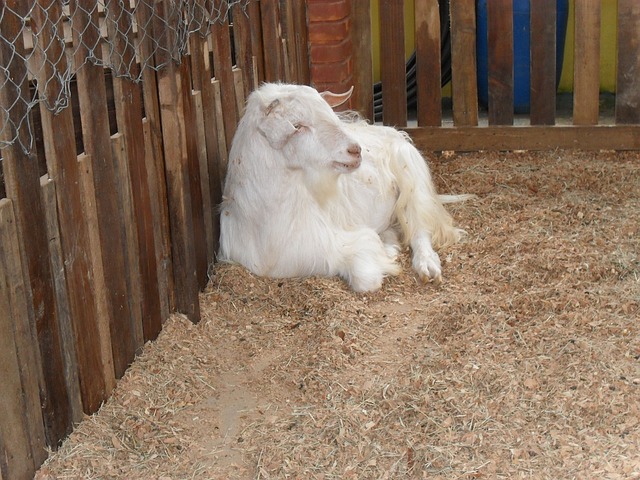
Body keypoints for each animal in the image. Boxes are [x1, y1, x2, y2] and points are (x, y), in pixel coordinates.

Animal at [218, 83, 468, 292]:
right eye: (297, 126)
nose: (355, 150)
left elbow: (366, 279)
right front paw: (386, 251)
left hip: (411, 174)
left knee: (419, 227)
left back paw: (427, 265)